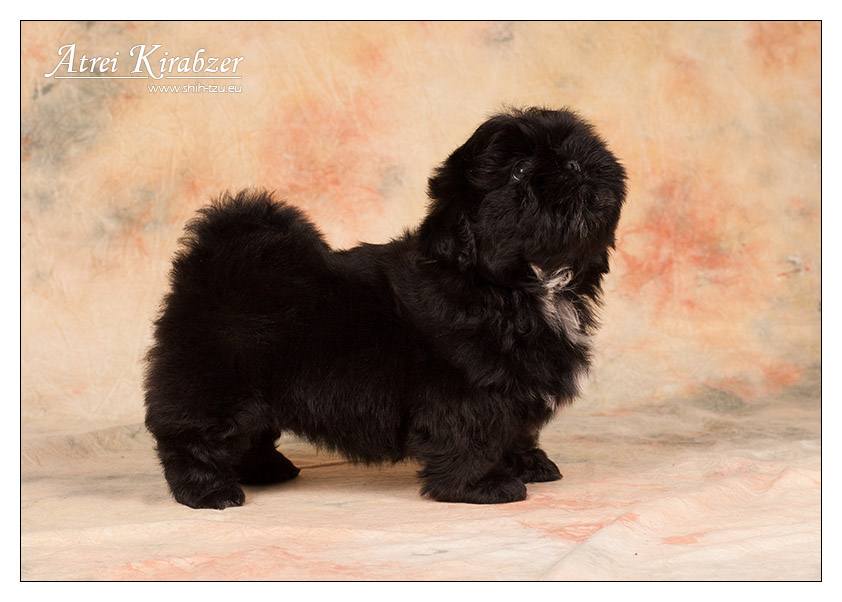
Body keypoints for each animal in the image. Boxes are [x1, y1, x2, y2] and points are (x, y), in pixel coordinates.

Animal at [144, 107, 627, 508]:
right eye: (520, 171)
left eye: (572, 147)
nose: (575, 163)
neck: (519, 284)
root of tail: (212, 260)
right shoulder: (469, 389)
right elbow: (472, 435)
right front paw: (480, 486)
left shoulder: (517, 384)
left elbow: (517, 430)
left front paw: (529, 465)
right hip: (219, 382)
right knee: (192, 436)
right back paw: (208, 491)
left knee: (251, 434)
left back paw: (266, 470)